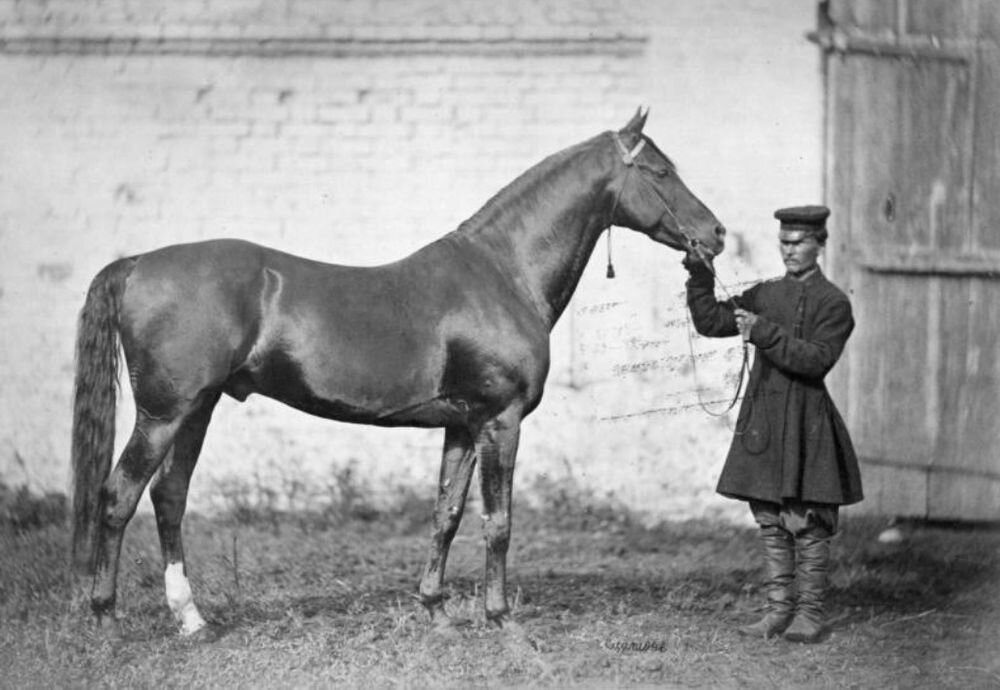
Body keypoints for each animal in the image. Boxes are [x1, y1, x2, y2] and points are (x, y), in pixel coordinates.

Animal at [72, 109, 728, 636]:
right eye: (660, 173)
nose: (716, 234)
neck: (502, 273)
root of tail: (137, 264)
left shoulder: (462, 426)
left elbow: (447, 515)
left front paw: (435, 610)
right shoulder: (501, 421)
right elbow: (498, 522)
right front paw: (500, 619)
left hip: (198, 408)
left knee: (169, 496)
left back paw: (192, 621)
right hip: (164, 413)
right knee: (119, 495)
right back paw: (107, 620)